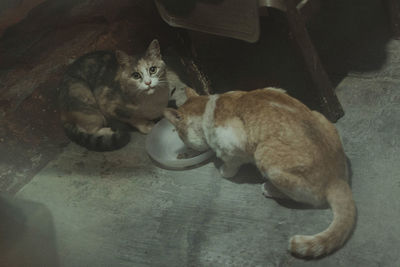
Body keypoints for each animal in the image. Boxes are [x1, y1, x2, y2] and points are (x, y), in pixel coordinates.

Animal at [164, 88, 358, 260]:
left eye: (180, 136)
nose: (185, 147)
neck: (208, 108)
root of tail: (337, 179)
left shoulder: (234, 146)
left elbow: (230, 164)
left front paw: (224, 171)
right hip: (319, 115)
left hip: (263, 155)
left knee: (303, 198)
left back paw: (269, 188)